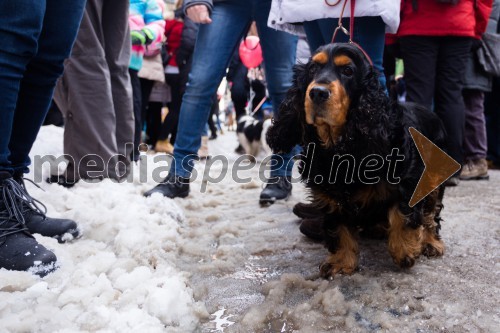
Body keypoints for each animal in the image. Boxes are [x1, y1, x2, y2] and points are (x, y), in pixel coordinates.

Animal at [268, 44, 448, 278]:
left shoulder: (407, 180)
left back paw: (430, 242)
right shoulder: (331, 195)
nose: (317, 92)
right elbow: (339, 227)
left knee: (431, 212)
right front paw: (342, 261)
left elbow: (402, 214)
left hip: (435, 180)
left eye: (348, 71)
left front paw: (405, 250)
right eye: (313, 69)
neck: (343, 145)